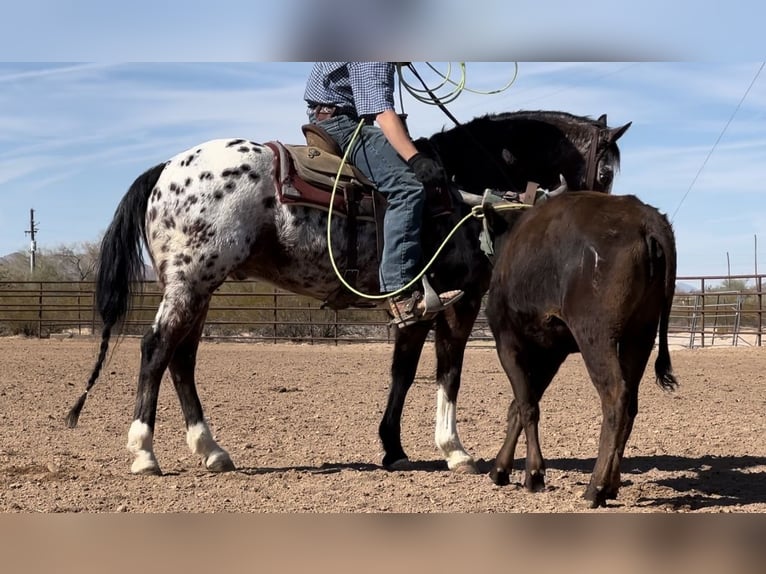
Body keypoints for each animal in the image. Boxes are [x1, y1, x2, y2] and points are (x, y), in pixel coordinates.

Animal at [64, 109, 632, 476]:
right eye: (606, 168)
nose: (595, 215)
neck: (466, 188)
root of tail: (166, 169)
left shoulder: (416, 305)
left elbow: (403, 372)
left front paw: (394, 449)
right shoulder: (461, 301)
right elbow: (448, 372)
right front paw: (454, 450)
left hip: (201, 288)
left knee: (182, 360)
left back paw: (212, 450)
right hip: (190, 283)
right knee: (156, 350)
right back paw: (144, 453)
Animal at [486, 192, 680, 508]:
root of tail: (645, 216)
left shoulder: (507, 342)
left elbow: (526, 405)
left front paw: (533, 474)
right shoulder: (551, 354)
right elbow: (520, 404)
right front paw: (501, 468)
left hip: (595, 335)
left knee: (615, 396)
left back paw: (595, 487)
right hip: (640, 334)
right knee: (631, 402)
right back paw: (611, 484)